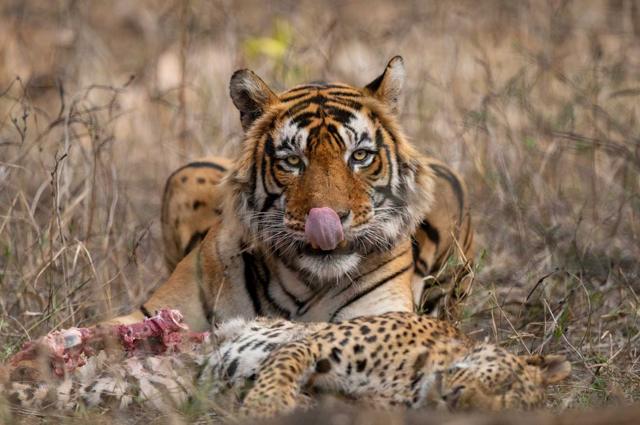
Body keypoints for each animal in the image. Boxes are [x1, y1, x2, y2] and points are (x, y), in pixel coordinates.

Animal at [106, 54, 476, 330]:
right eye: (293, 160)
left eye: (359, 156)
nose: (329, 220)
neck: (306, 285)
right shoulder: (155, 311)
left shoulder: (381, 316)